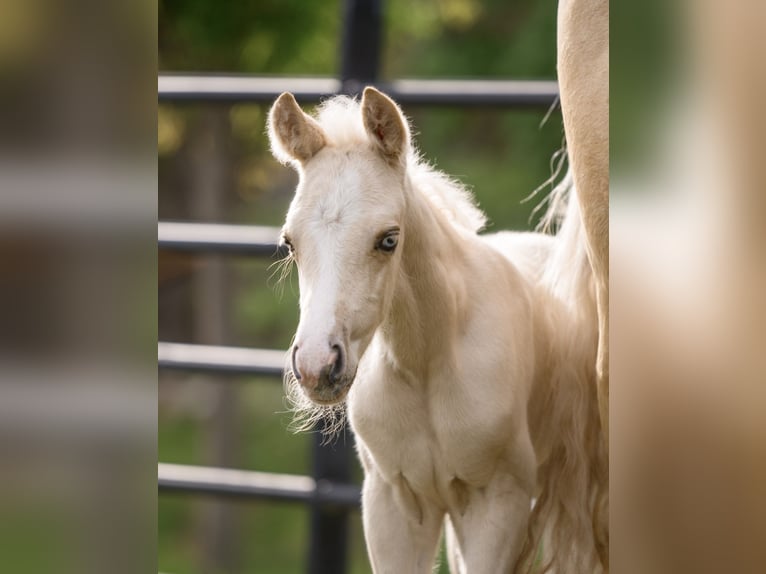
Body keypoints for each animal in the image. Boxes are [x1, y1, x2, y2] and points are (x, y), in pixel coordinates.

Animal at [267, 87, 605, 573]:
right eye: (290, 243)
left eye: (388, 239)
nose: (317, 366)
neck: (427, 363)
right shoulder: (392, 504)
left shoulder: (498, 502)